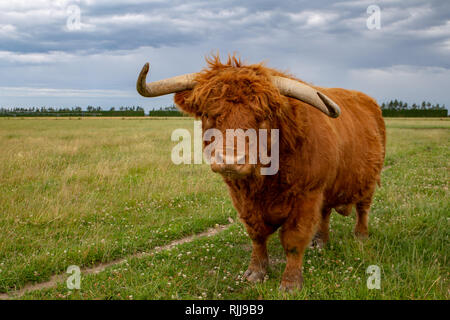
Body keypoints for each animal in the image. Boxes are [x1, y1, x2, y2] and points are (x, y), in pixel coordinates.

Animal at [135, 56, 384, 292]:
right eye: (208, 114)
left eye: (263, 115)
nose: (230, 161)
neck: (265, 181)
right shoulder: (243, 200)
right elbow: (256, 235)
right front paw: (256, 272)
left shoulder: (307, 195)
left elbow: (294, 240)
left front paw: (291, 283)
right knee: (325, 213)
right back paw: (321, 242)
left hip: (369, 180)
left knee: (363, 208)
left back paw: (361, 236)